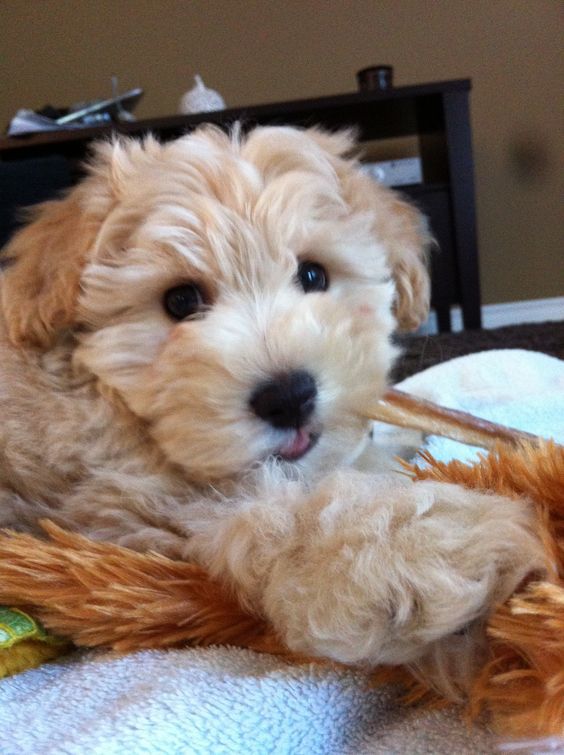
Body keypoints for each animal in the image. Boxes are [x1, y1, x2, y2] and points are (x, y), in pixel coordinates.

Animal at [0, 125, 548, 696]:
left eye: (313, 274)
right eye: (180, 301)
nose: (288, 398)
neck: (101, 388)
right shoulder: (125, 496)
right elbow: (281, 514)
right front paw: (432, 548)